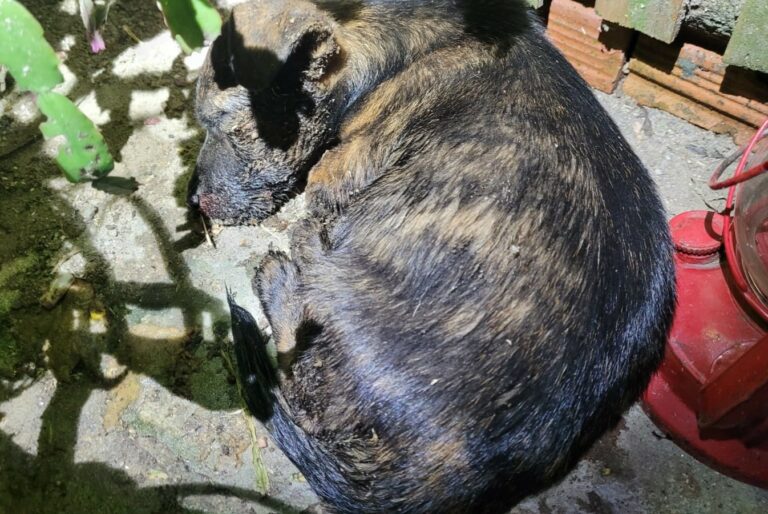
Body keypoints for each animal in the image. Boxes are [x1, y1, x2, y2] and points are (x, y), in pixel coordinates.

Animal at [189, 2, 676, 510]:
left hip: (338, 287)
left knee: (294, 371)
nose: (195, 200)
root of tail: (455, 474)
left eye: (229, 125)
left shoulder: (338, 167)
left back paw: (284, 270)